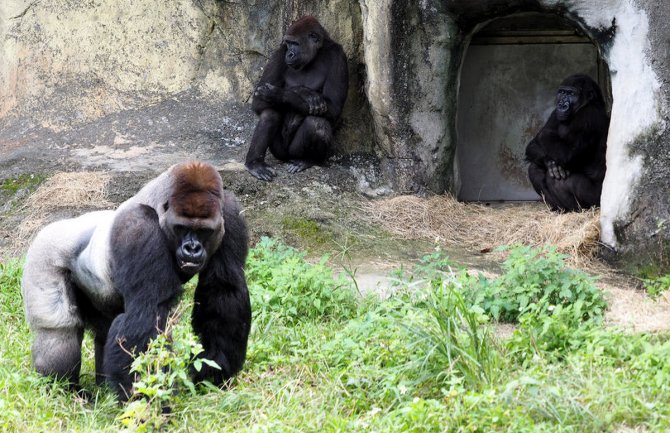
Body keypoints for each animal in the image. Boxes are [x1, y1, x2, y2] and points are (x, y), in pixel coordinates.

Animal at [23, 160, 252, 400]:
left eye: (204, 231)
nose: (192, 248)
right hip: (43, 254)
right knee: (58, 331)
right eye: (181, 228)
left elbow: (223, 291)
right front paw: (148, 400)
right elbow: (147, 314)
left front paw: (214, 372)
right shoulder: (138, 227)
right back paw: (63, 391)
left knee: (104, 329)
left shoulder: (230, 212)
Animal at [247, 15, 352, 181]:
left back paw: (307, 160)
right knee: (270, 113)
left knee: (316, 123)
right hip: (280, 153)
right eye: (288, 44)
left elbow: (334, 106)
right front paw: (304, 92)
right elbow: (258, 100)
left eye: (295, 44)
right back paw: (255, 164)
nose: (289, 54)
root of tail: (287, 158)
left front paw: (281, 93)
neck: (316, 54)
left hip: (295, 153)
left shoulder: (338, 56)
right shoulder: (279, 53)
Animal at [528, 74, 612, 213]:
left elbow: (567, 154)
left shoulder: (589, 117)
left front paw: (545, 134)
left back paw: (578, 210)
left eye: (571, 94)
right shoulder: (554, 113)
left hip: (599, 200)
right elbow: (533, 146)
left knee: (565, 181)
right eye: (562, 92)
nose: (562, 104)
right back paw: (559, 209)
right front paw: (550, 162)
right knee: (535, 168)